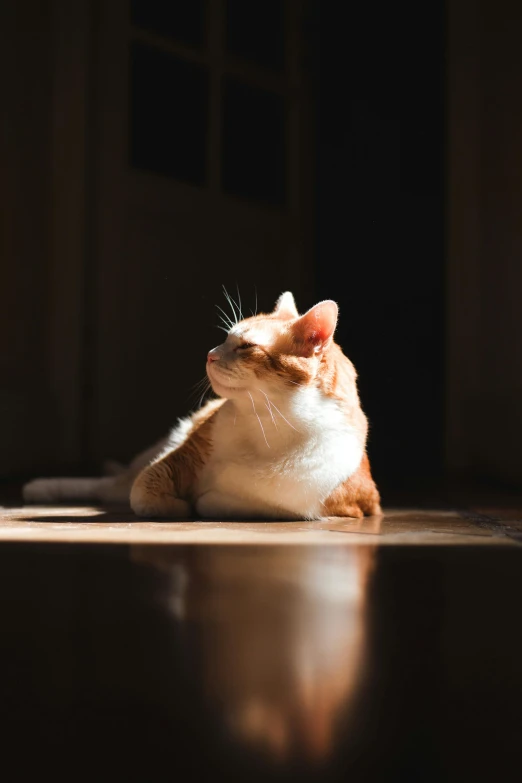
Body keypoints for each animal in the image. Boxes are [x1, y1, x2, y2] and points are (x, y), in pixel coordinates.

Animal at [23, 294, 378, 520]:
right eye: (225, 339)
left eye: (245, 346)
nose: (209, 354)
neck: (267, 425)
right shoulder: (182, 453)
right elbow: (143, 490)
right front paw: (175, 506)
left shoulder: (328, 505)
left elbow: (227, 503)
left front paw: (200, 501)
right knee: (112, 484)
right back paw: (41, 488)